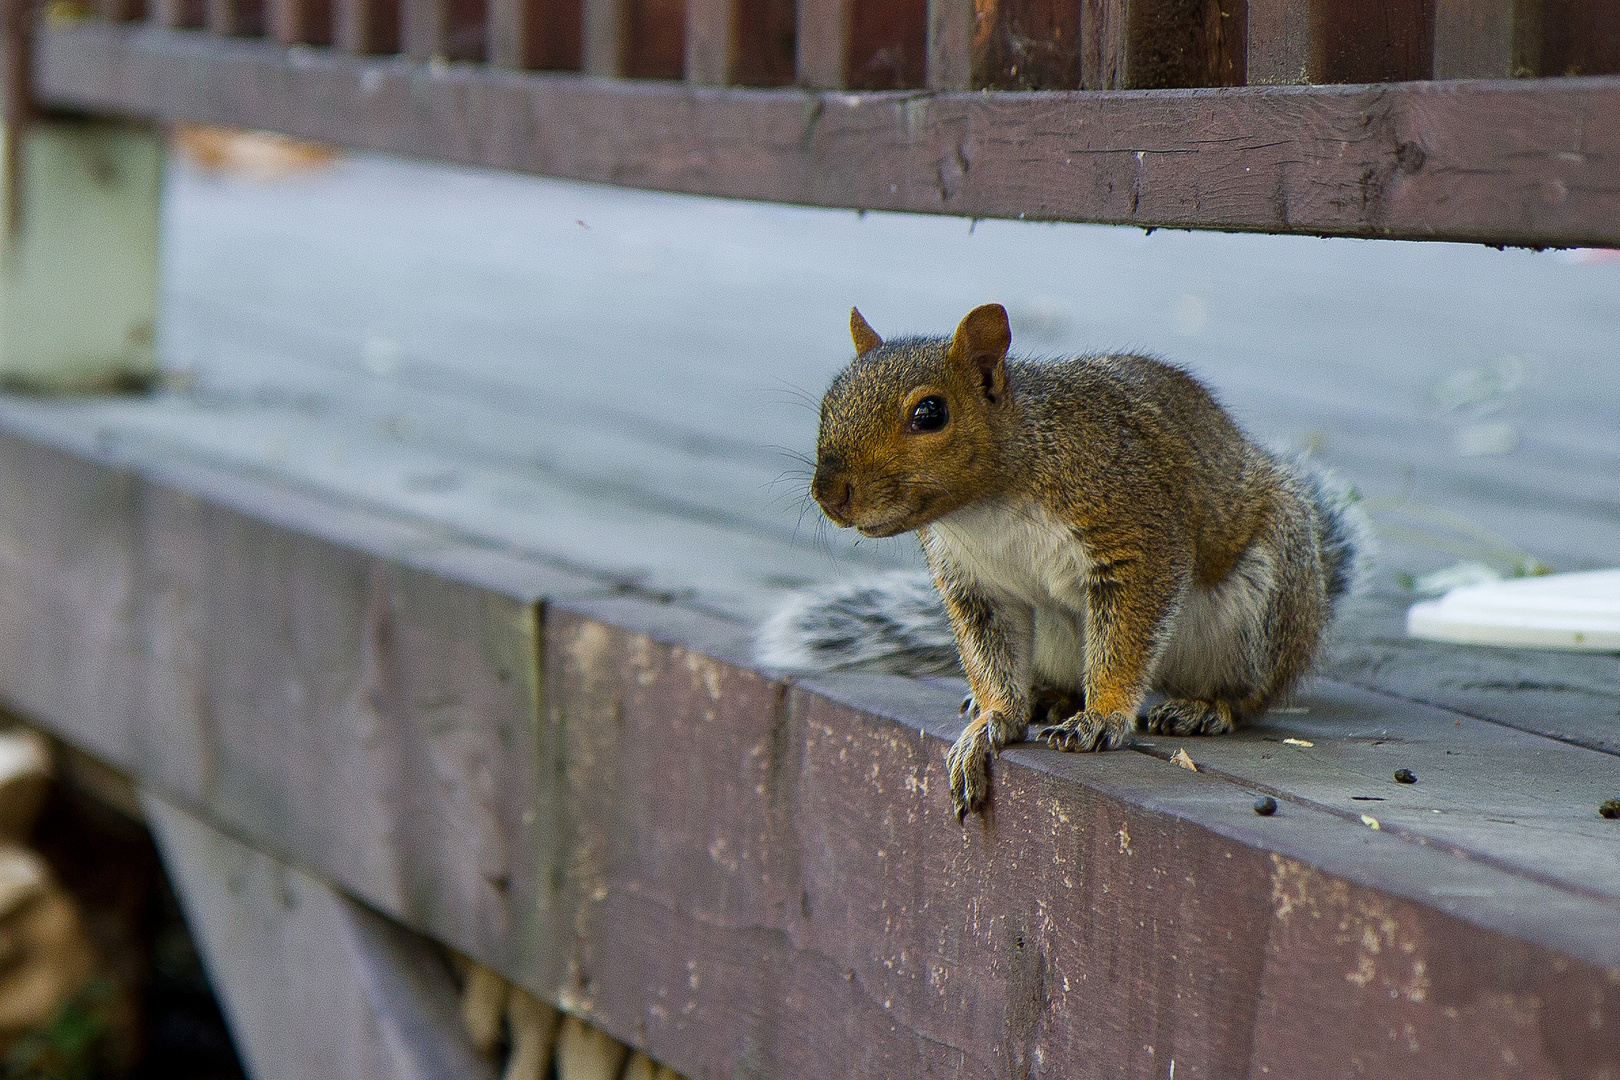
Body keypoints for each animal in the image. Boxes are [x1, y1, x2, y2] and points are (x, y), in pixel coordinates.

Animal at [758, 304, 1367, 819]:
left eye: (930, 413)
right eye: (830, 401)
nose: (828, 494)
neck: (986, 505)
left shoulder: (1134, 532)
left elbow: (1127, 635)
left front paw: (1101, 718)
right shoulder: (976, 584)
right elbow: (990, 655)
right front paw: (992, 721)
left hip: (1264, 607)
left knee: (1256, 691)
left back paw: (1204, 707)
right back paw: (1047, 697)